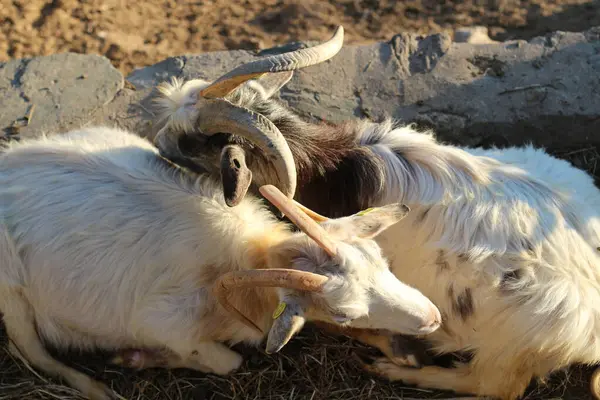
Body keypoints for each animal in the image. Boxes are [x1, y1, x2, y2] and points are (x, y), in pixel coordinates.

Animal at [0, 126, 440, 400]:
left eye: (380, 259)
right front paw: (137, 358)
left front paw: (401, 352)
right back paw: (99, 386)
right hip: (13, 295)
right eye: (344, 311)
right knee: (34, 354)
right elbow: (228, 362)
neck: (247, 255)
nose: (433, 317)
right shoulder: (165, 323)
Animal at [151, 25, 600, 400]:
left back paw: (396, 370)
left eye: (193, 142)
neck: (332, 169)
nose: (158, 143)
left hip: (510, 346)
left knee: (494, 386)